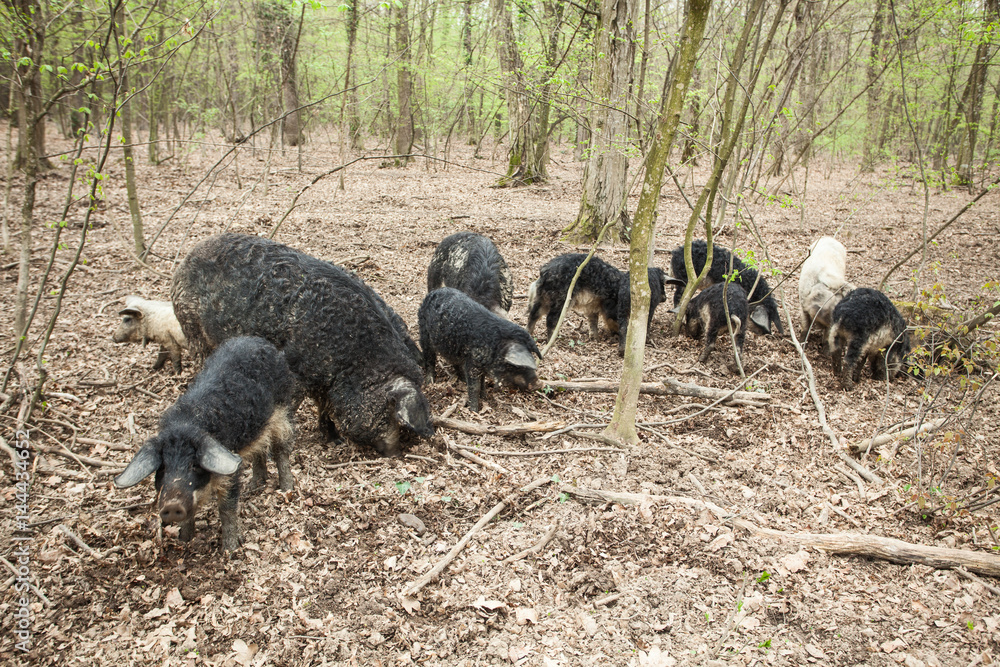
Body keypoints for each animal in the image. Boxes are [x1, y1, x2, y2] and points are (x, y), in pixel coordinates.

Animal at [114, 336, 295, 551]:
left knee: (280, 448)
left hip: (281, 410)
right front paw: (184, 540)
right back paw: (254, 486)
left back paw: (286, 489)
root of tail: (257, 340)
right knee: (259, 448)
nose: (172, 505)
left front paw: (230, 550)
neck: (187, 424)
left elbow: (226, 507)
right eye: (163, 468)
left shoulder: (228, 468)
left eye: (194, 465)